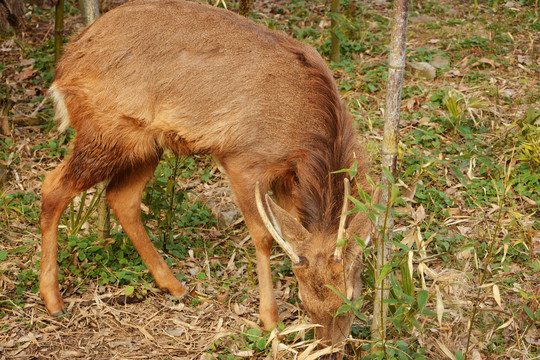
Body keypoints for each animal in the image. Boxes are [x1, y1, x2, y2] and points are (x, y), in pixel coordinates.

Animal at [40, 0, 378, 348]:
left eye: (351, 299)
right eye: (306, 301)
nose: (330, 346)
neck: (306, 135)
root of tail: (64, 66)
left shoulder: (289, 176)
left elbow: (292, 231)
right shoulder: (243, 160)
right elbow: (263, 236)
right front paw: (270, 322)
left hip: (146, 143)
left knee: (122, 198)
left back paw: (174, 286)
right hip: (104, 130)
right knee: (52, 186)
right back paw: (53, 300)